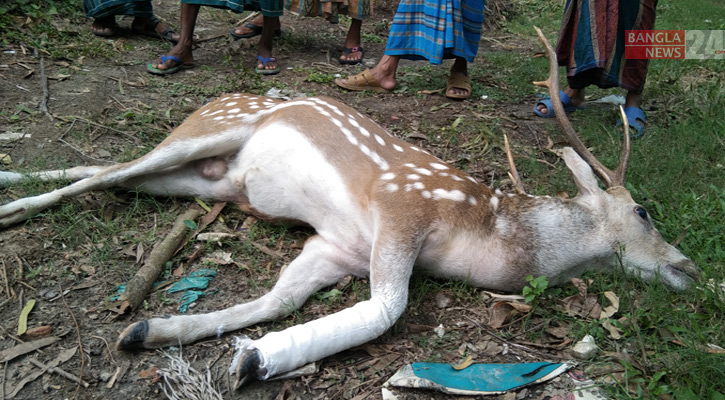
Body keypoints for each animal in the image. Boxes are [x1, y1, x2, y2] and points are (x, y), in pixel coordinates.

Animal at [0, 28, 700, 388]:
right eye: (644, 213)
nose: (690, 268)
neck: (482, 234)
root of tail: (209, 105)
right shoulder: (400, 207)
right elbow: (385, 311)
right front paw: (254, 360)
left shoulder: (335, 246)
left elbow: (277, 298)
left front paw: (155, 332)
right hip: (207, 134)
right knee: (107, 172)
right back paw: (16, 203)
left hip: (208, 182)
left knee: (106, 174)